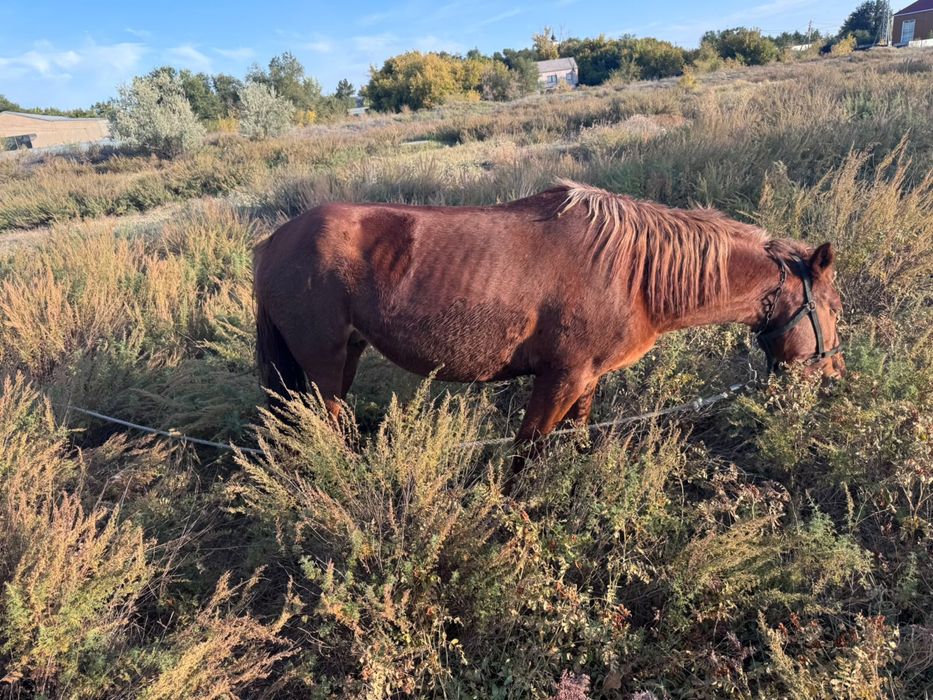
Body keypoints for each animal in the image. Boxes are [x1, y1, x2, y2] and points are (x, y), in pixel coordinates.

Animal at [253, 180, 844, 458]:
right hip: (325, 367)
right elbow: (527, 453)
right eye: (835, 308)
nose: (834, 373)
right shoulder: (559, 378)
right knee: (328, 424)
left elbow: (575, 436)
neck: (632, 273)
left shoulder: (585, 381)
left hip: (343, 357)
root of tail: (272, 242)